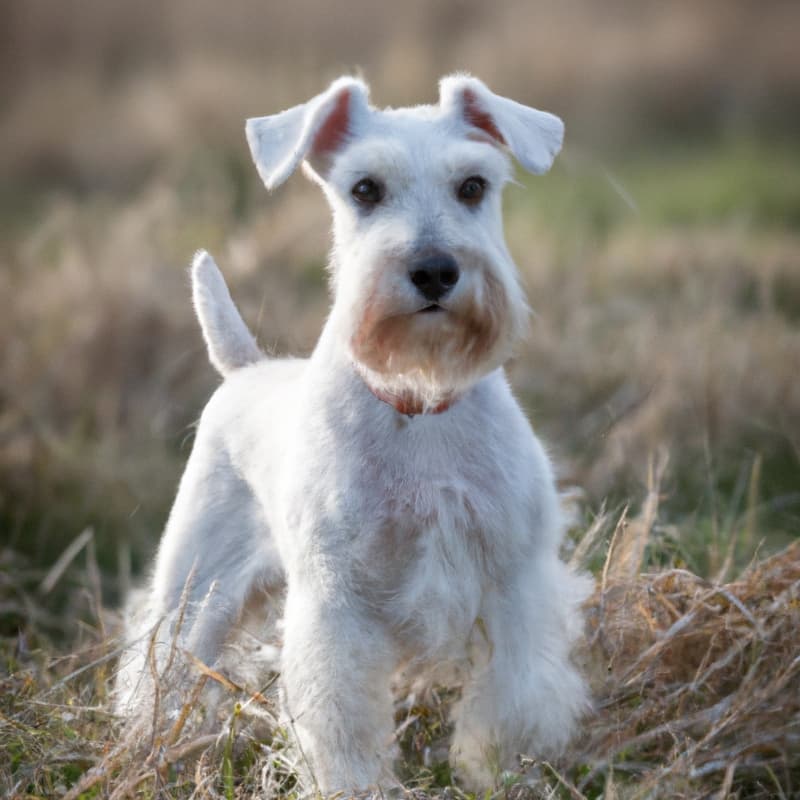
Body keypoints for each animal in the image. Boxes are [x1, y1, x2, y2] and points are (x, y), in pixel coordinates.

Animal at [119, 75, 592, 792]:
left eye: (473, 185)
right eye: (364, 189)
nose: (434, 270)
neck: (418, 402)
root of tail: (246, 370)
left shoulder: (514, 586)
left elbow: (509, 705)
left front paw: (498, 777)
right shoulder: (337, 604)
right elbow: (341, 723)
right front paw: (355, 788)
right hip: (196, 585)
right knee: (159, 667)